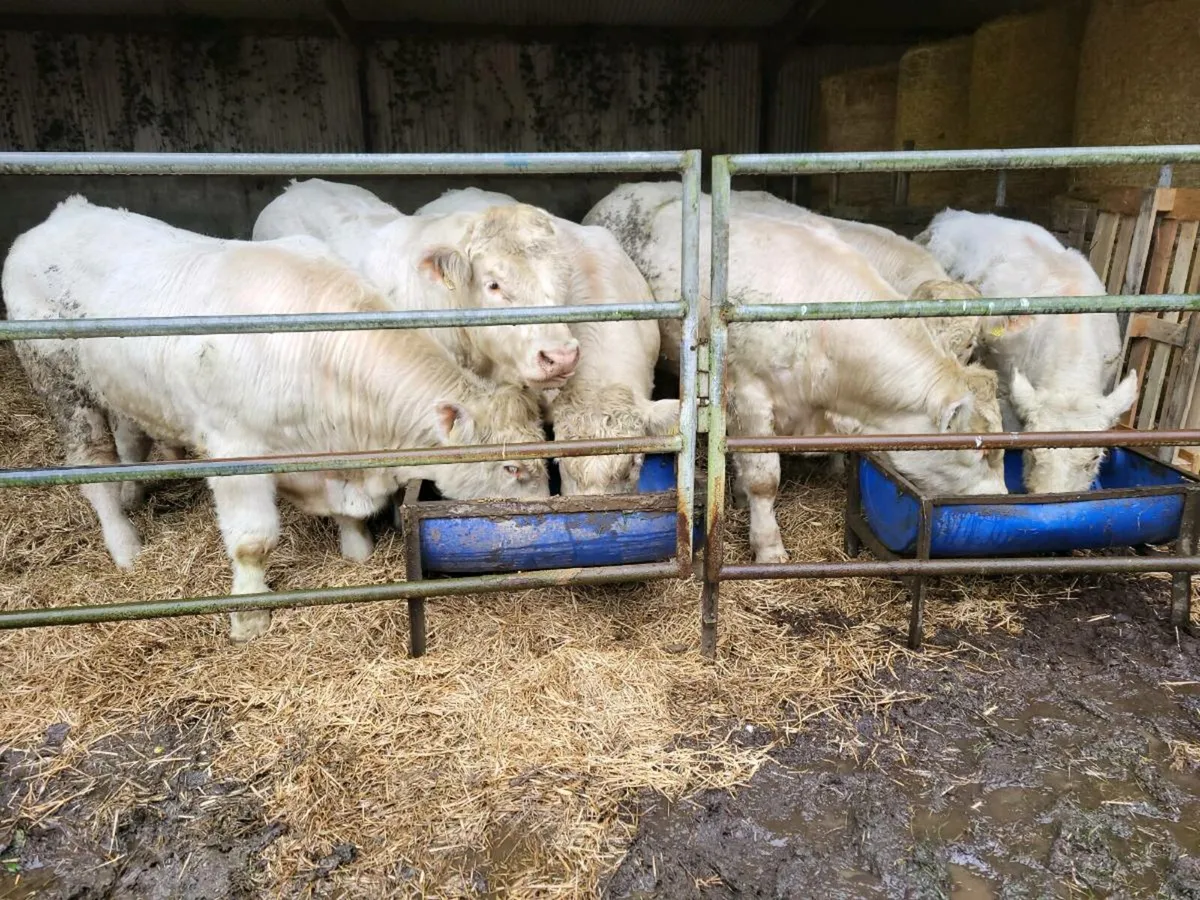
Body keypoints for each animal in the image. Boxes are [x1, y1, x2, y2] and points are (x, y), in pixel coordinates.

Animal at [3, 196, 551, 642]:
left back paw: (133, 493)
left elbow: (352, 516)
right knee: (92, 467)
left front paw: (356, 550)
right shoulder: (234, 450)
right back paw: (125, 546)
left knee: (132, 439)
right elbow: (252, 541)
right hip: (59, 382)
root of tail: (63, 214)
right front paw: (249, 615)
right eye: (511, 468)